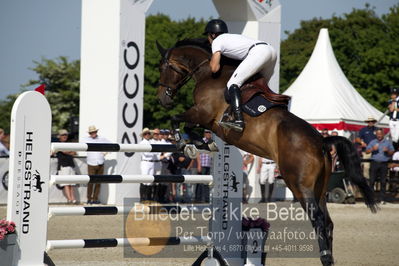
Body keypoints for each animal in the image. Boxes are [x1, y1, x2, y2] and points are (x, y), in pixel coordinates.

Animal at [156, 38, 378, 264]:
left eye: (162, 68)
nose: (162, 99)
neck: (209, 73)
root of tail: (321, 141)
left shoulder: (202, 113)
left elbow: (176, 119)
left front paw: (185, 144)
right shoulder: (206, 120)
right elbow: (191, 128)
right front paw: (201, 144)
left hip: (299, 185)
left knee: (318, 219)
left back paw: (324, 257)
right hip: (320, 188)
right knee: (328, 221)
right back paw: (329, 259)